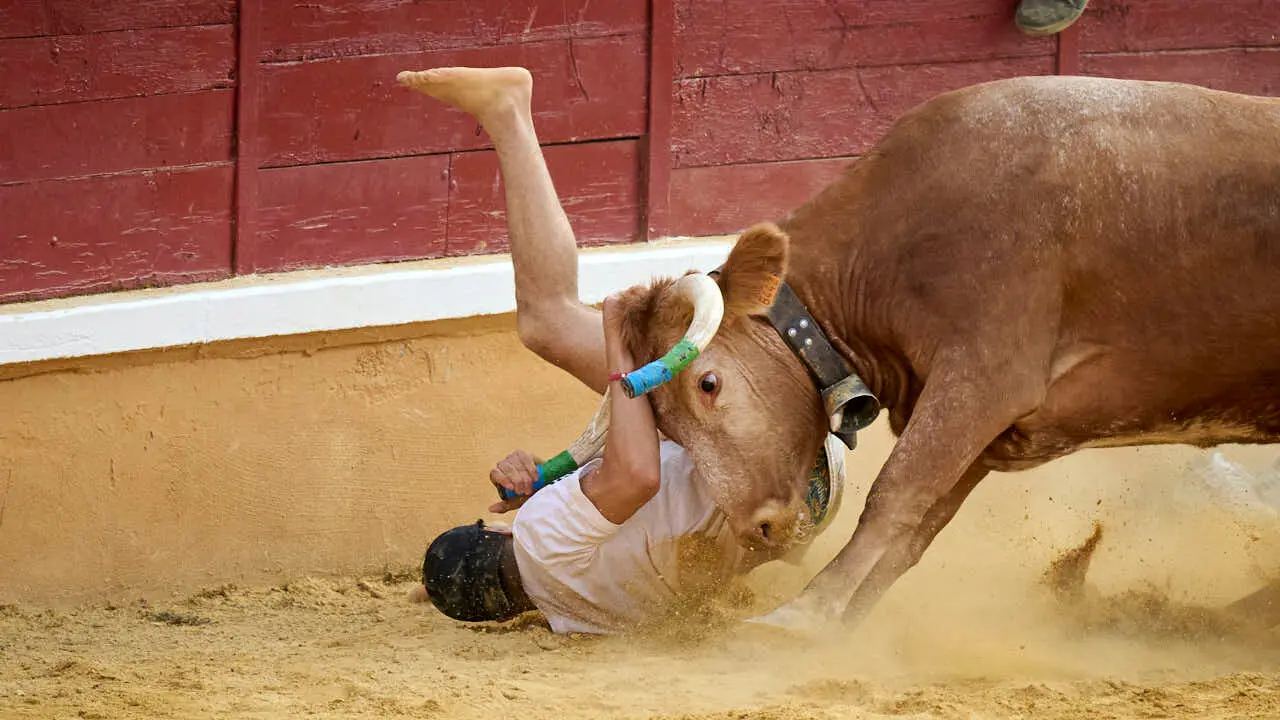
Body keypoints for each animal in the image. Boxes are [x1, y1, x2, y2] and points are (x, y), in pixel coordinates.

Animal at [600, 75, 1280, 630]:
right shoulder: (978, 422)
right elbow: (917, 528)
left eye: (707, 384)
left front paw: (802, 614)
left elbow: (895, 494)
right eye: (666, 427)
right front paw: (841, 628)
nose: (758, 529)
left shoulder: (983, 378)